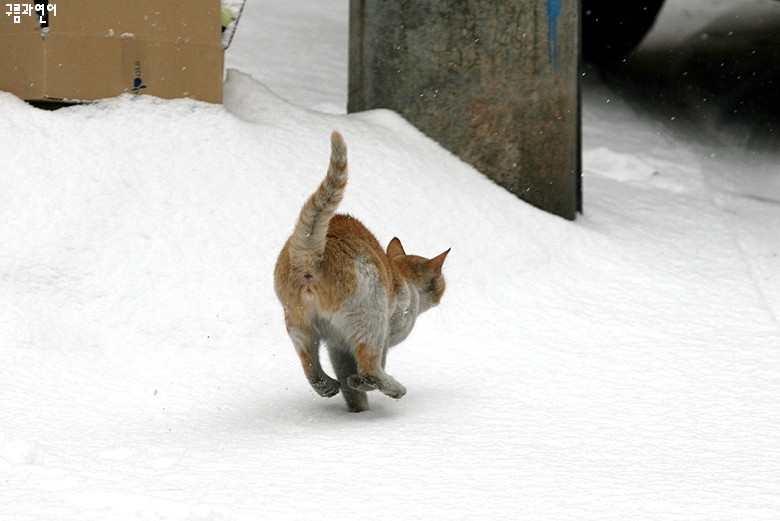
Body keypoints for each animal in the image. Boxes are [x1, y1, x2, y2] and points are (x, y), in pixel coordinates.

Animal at [274, 130, 448, 410]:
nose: (441, 294)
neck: (402, 274)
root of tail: (313, 252)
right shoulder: (381, 335)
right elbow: (367, 371)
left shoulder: (336, 344)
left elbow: (346, 378)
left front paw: (357, 408)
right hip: (370, 320)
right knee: (370, 371)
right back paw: (395, 389)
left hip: (299, 324)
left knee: (310, 366)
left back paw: (328, 386)